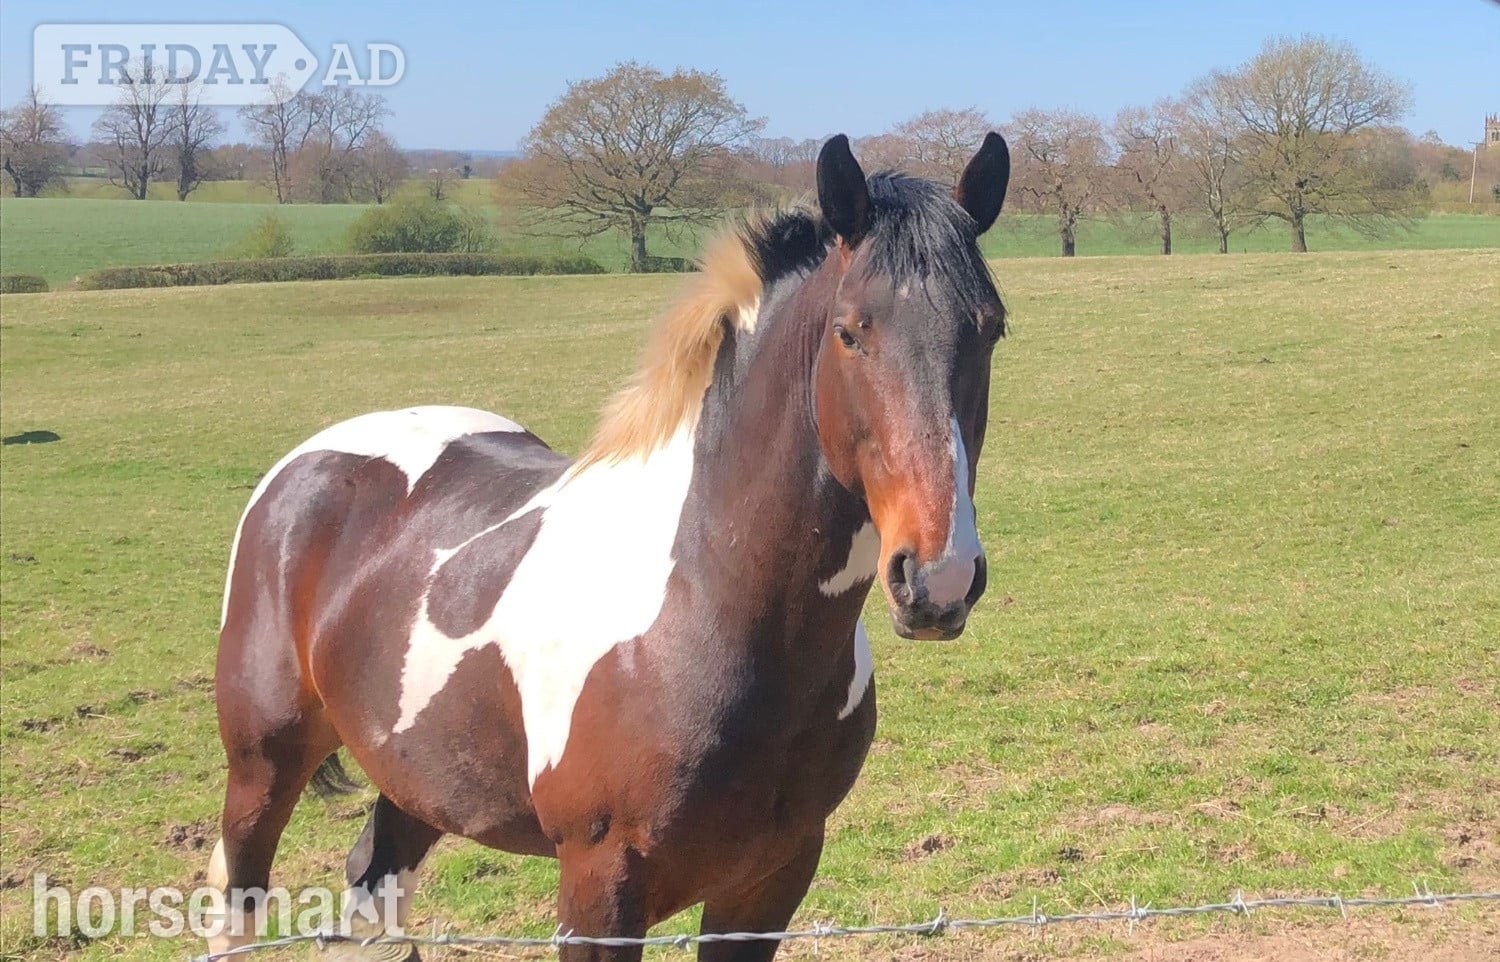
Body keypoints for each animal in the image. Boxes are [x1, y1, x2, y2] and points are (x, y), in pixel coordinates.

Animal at [208, 131, 1011, 962]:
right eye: (851, 331)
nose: (938, 576)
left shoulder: (770, 878)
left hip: (417, 774)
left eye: (991, 329)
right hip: (263, 765)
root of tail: (307, 463)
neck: (706, 606)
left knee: (373, 880)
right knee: (238, 893)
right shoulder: (601, 887)